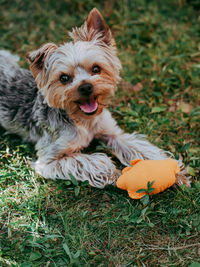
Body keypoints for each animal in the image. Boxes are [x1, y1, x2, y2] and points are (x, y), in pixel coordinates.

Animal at [0, 8, 190, 188]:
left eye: (96, 69)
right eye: (64, 78)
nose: (85, 87)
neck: (83, 120)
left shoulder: (113, 133)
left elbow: (142, 149)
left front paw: (170, 171)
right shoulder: (49, 158)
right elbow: (92, 162)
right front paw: (116, 174)